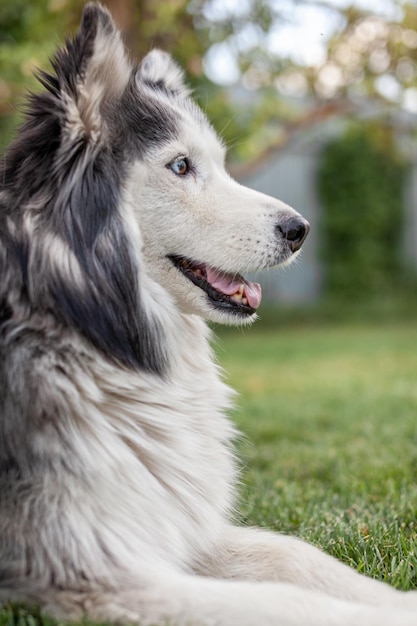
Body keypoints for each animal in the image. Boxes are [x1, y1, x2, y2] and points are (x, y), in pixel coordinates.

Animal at [0, 4, 416, 624]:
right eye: (180, 165)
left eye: (218, 164)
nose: (300, 230)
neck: (76, 322)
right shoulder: (90, 572)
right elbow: (288, 600)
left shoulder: (176, 525)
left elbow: (296, 556)